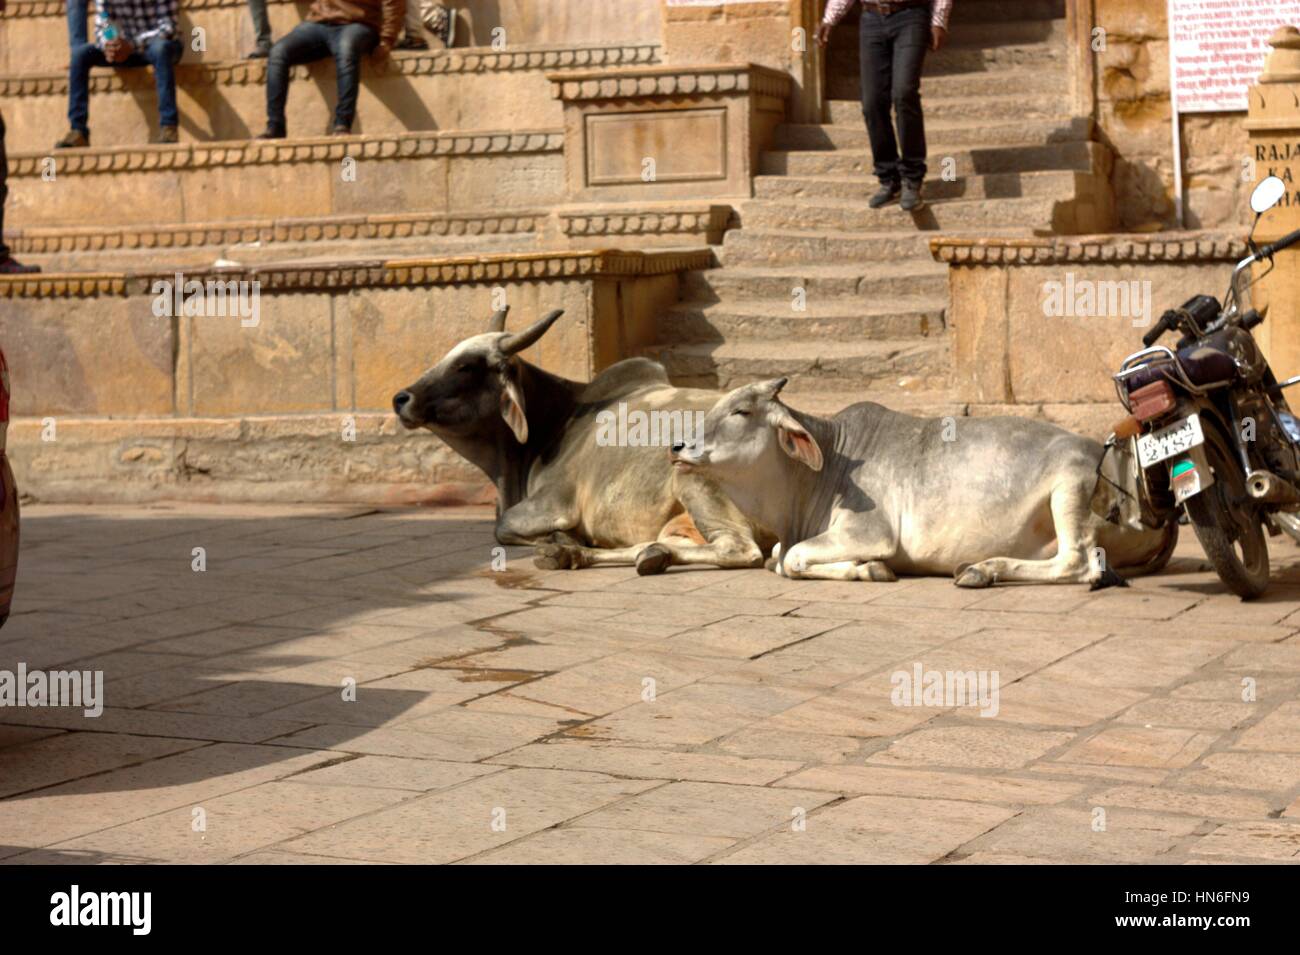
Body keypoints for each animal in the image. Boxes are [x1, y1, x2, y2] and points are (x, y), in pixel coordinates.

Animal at [670, 376, 1180, 587]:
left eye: (741, 411)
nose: (677, 446)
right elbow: (777, 555)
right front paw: (866, 570)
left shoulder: (868, 530)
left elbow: (790, 557)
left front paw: (869, 569)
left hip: (1070, 487)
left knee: (1078, 562)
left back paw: (983, 570)